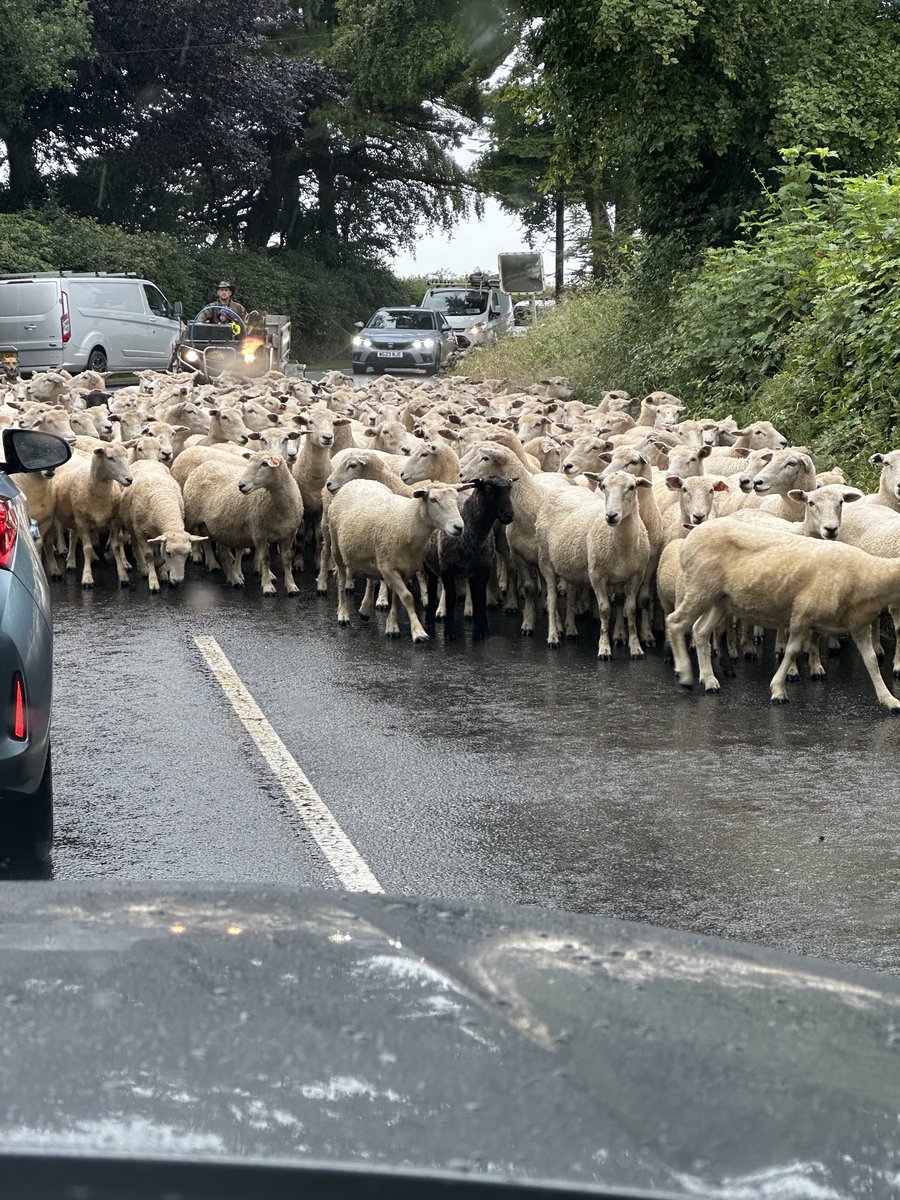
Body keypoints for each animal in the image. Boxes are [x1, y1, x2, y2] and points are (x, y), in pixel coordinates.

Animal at [182, 451, 303, 595]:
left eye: (264, 464)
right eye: (249, 462)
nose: (241, 485)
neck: (280, 508)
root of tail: (203, 466)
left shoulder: (289, 535)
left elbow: (286, 560)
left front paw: (291, 586)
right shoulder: (259, 533)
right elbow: (265, 559)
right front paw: (268, 586)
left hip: (219, 527)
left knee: (218, 550)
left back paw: (226, 573)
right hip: (192, 519)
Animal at [328, 482, 465, 643]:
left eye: (456, 498)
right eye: (433, 500)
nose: (459, 527)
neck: (408, 522)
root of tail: (356, 480)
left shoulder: (405, 569)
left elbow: (397, 598)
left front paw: (392, 627)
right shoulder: (388, 568)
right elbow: (407, 597)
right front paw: (418, 632)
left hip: (370, 552)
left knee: (370, 578)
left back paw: (365, 609)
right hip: (336, 547)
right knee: (341, 581)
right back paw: (343, 614)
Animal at [424, 477, 513, 648]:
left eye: (510, 488)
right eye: (489, 489)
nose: (509, 514)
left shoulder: (483, 569)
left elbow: (480, 597)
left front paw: (482, 632)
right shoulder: (447, 569)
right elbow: (451, 597)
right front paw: (449, 632)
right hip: (429, 565)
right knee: (431, 591)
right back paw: (429, 621)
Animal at [667, 520, 900, 705]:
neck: (867, 574)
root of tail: (690, 537)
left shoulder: (859, 625)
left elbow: (871, 660)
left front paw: (889, 700)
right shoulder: (802, 614)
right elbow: (792, 651)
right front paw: (778, 689)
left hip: (720, 600)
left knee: (700, 631)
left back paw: (709, 679)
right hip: (700, 587)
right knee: (675, 622)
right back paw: (685, 675)